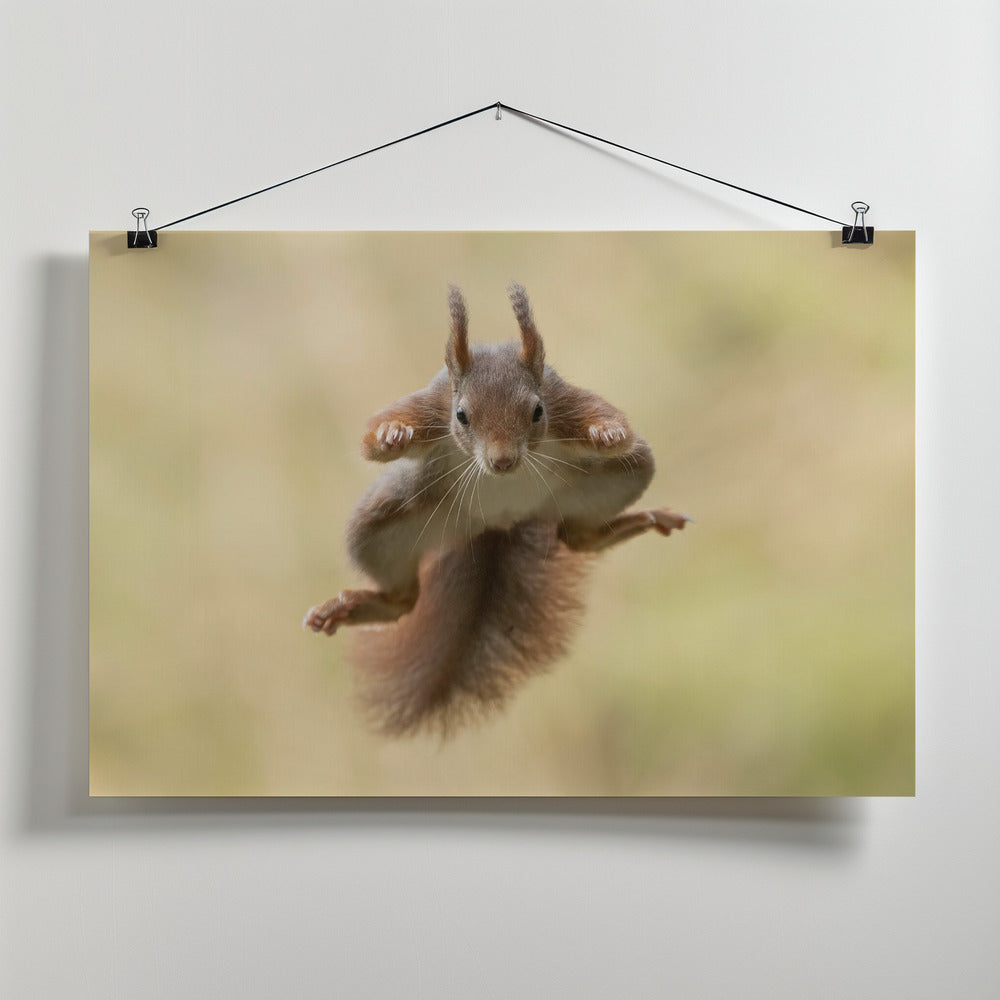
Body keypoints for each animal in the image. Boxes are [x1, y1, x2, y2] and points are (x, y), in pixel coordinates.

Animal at [304, 283, 687, 737]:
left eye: (537, 411)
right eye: (461, 415)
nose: (502, 462)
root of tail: (498, 524)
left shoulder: (563, 400)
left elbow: (614, 425)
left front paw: (605, 432)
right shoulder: (430, 405)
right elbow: (373, 441)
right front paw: (391, 433)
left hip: (619, 477)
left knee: (578, 536)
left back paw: (643, 519)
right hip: (381, 525)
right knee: (403, 598)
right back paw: (347, 608)